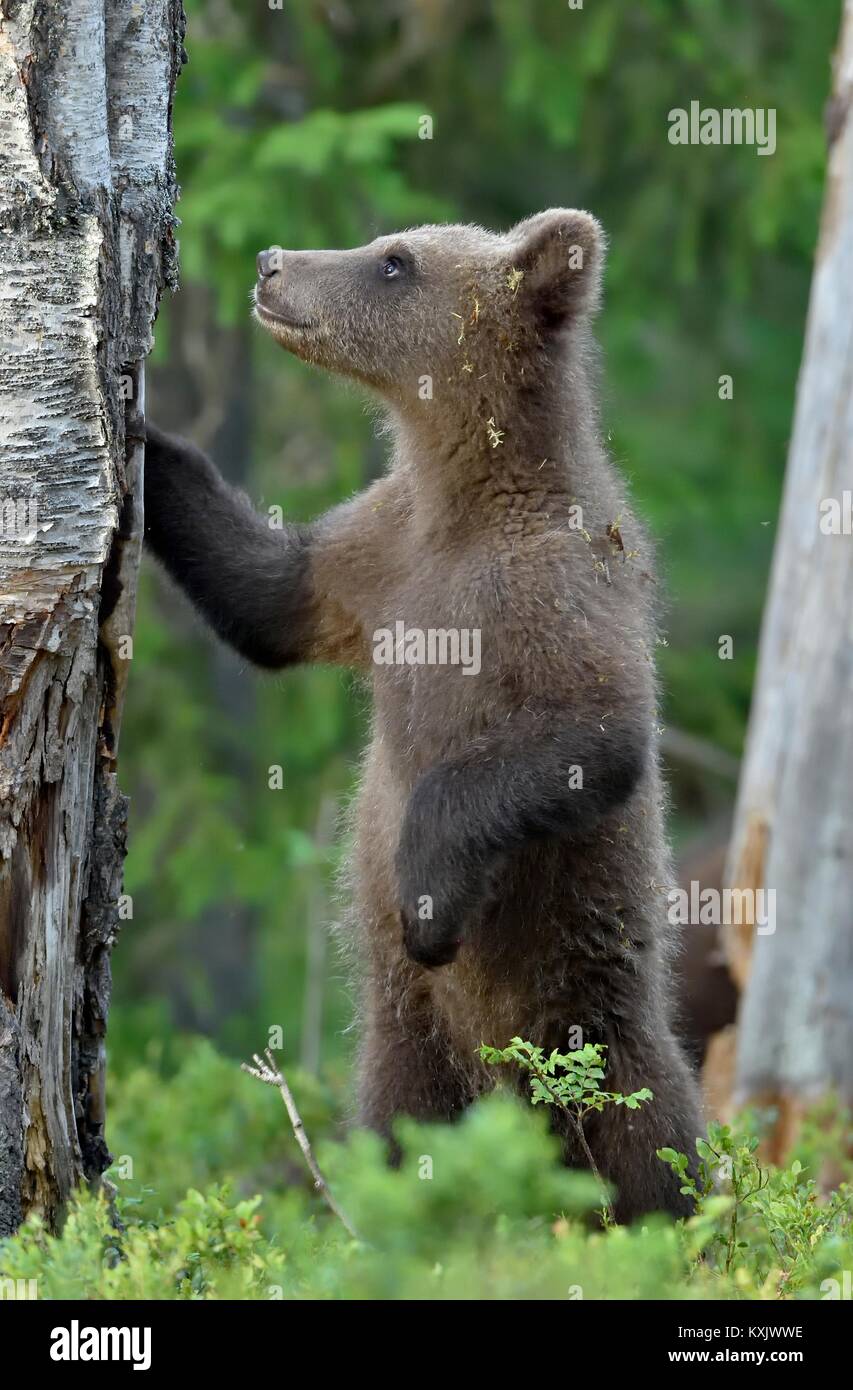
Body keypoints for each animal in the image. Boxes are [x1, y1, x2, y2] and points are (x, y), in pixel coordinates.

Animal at [143, 209, 703, 1222]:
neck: (463, 495)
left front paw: (429, 902)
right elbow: (265, 593)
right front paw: (138, 435)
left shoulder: (555, 591)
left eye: (394, 261)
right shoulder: (374, 558)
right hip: (409, 1050)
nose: (271, 263)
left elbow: (593, 739)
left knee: (654, 1143)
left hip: (596, 1031)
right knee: (396, 1133)